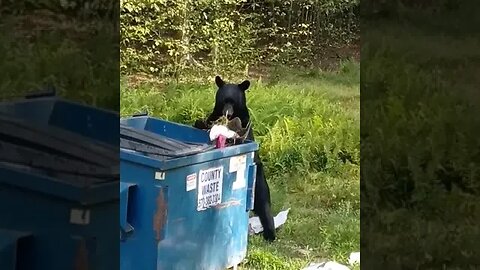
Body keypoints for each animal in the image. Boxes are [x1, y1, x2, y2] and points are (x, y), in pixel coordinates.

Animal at [194, 75, 276, 242]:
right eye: (224, 100)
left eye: (233, 101)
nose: (228, 113)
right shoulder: (213, 116)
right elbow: (206, 123)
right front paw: (200, 122)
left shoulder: (244, 124)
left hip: (258, 182)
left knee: (264, 205)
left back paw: (270, 233)